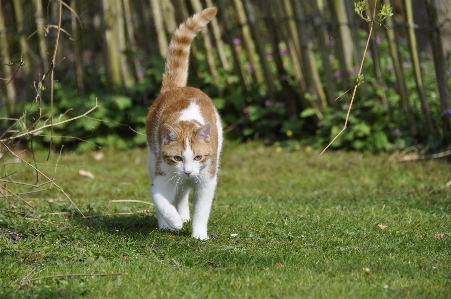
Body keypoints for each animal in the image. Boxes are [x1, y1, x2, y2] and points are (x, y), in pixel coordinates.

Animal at [145, 7, 222, 241]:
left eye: (197, 157)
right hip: (152, 159)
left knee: (183, 192)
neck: (186, 122)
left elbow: (202, 210)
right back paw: (167, 223)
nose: (187, 171)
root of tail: (177, 88)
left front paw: (199, 234)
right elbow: (160, 199)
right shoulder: (162, 175)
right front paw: (173, 221)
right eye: (177, 158)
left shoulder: (207, 179)